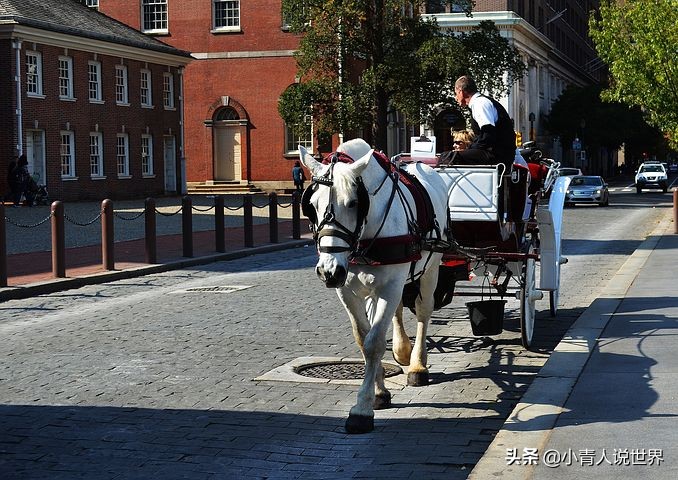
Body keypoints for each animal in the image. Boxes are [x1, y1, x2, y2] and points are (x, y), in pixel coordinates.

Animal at [298, 139, 448, 436]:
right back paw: (402, 350)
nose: (328, 271)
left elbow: (375, 342)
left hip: (431, 269)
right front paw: (379, 392)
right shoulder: (347, 290)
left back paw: (417, 365)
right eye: (312, 205)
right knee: (399, 310)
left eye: (353, 203)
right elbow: (363, 337)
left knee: (423, 313)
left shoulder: (390, 285)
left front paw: (362, 408)